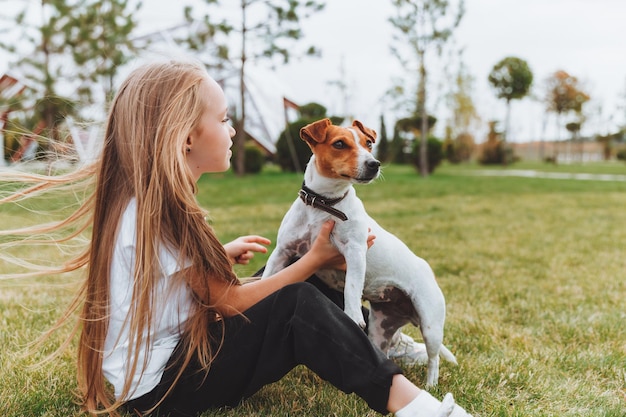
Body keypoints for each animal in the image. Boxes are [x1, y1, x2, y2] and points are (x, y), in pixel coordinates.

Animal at [260, 118, 456, 386]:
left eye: (369, 143)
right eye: (339, 144)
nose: (374, 164)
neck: (324, 204)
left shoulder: (354, 252)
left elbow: (351, 289)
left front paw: (352, 315)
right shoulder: (282, 251)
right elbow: (267, 277)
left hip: (431, 325)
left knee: (433, 358)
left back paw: (431, 384)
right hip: (380, 328)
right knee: (380, 351)